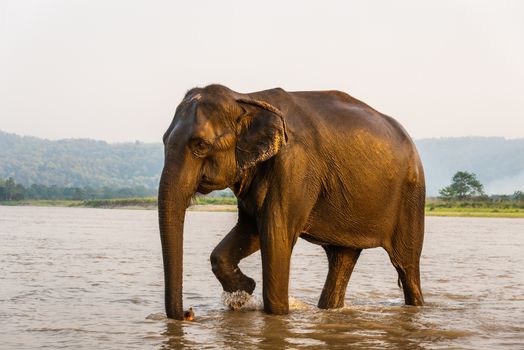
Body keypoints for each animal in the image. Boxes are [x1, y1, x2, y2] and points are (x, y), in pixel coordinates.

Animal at [158, 84, 424, 320]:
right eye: (163, 141)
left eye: (200, 145)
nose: (189, 313)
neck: (246, 97)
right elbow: (249, 230)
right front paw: (244, 290)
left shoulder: (294, 165)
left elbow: (276, 234)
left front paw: (269, 309)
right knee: (341, 260)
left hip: (411, 195)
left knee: (406, 265)